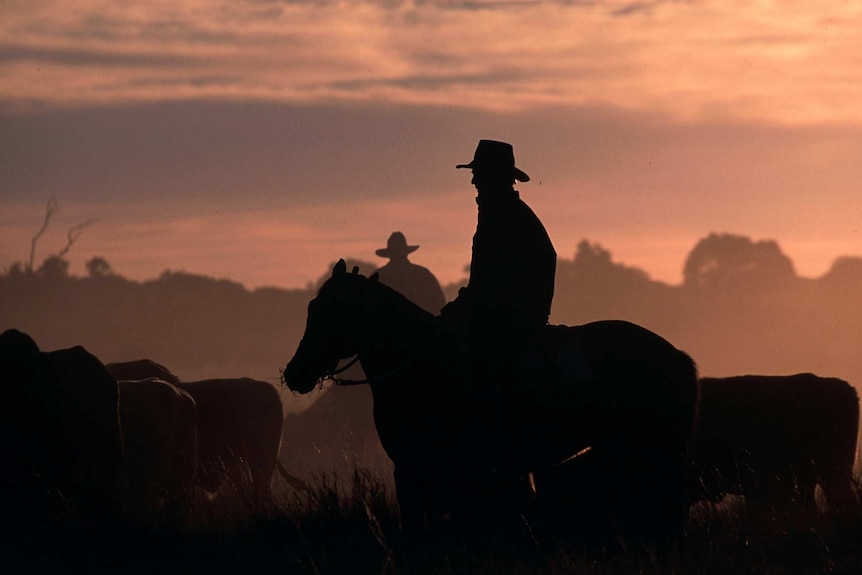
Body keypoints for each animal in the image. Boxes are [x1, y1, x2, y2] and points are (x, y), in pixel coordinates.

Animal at [284, 260, 704, 544]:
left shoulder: (420, 470)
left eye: (329, 310)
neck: (421, 361)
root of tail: (678, 356)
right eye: (310, 308)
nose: (295, 373)